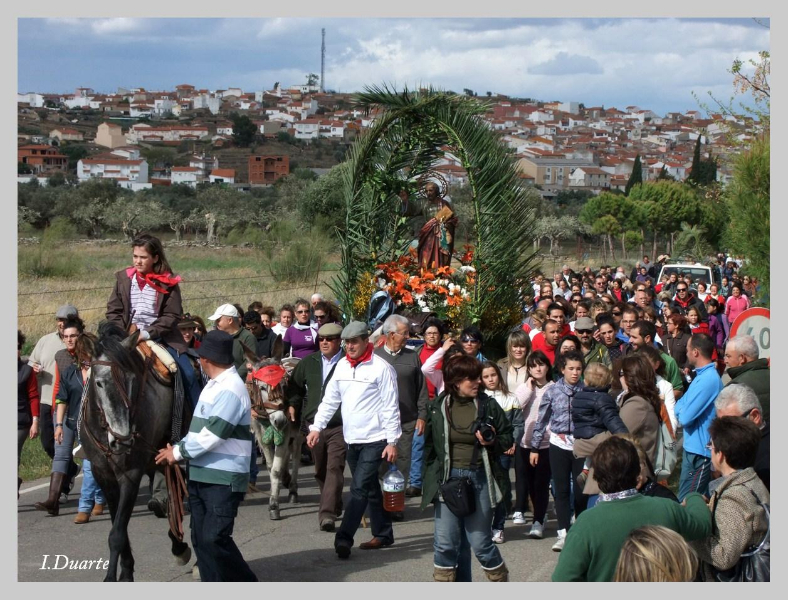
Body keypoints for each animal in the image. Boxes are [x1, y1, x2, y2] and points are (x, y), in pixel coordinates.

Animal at [80, 324, 192, 580]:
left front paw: (115, 577)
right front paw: (125, 571)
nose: (122, 440)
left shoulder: (130, 474)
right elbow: (118, 527)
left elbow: (117, 534)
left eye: (132, 379)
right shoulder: (104, 475)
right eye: (99, 382)